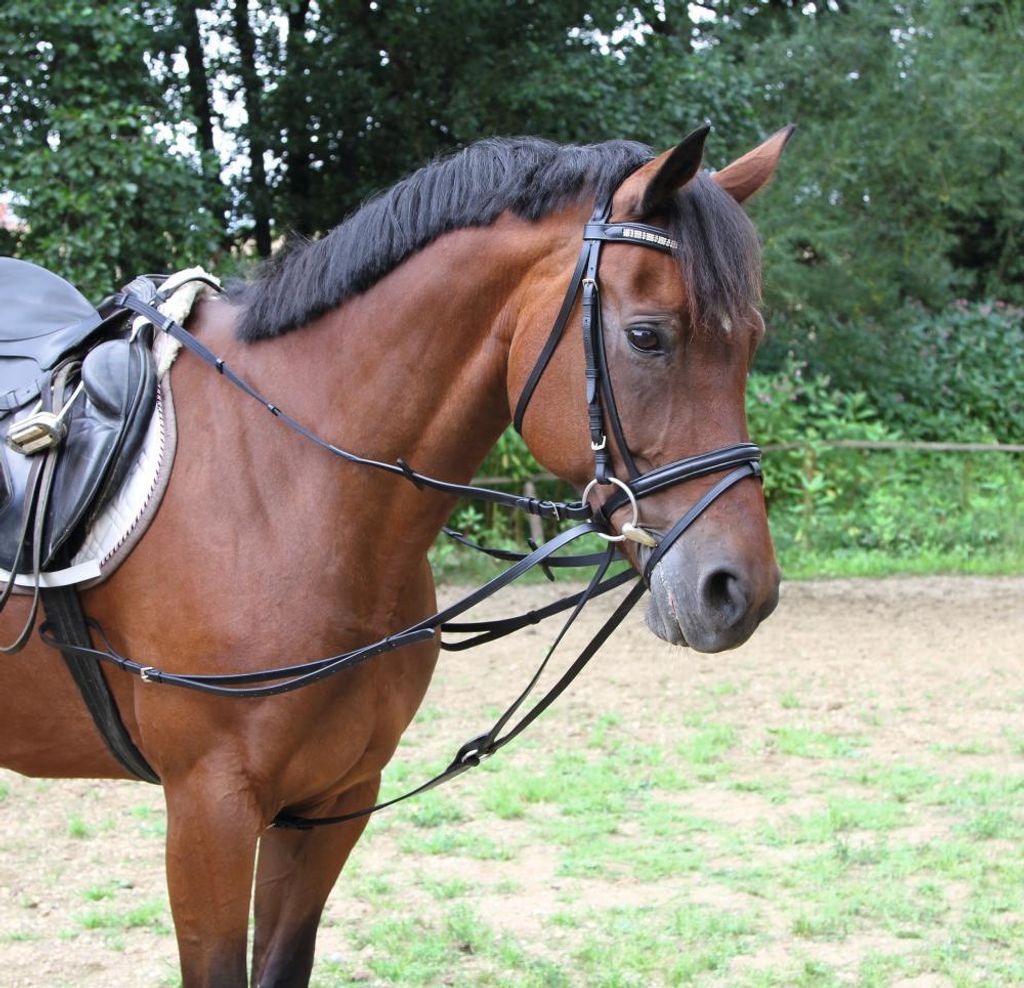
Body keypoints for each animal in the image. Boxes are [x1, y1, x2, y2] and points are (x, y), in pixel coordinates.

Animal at [0, 123, 789, 987]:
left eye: (752, 342)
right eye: (648, 336)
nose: (738, 590)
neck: (287, 486)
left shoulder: (333, 799)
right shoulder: (210, 810)